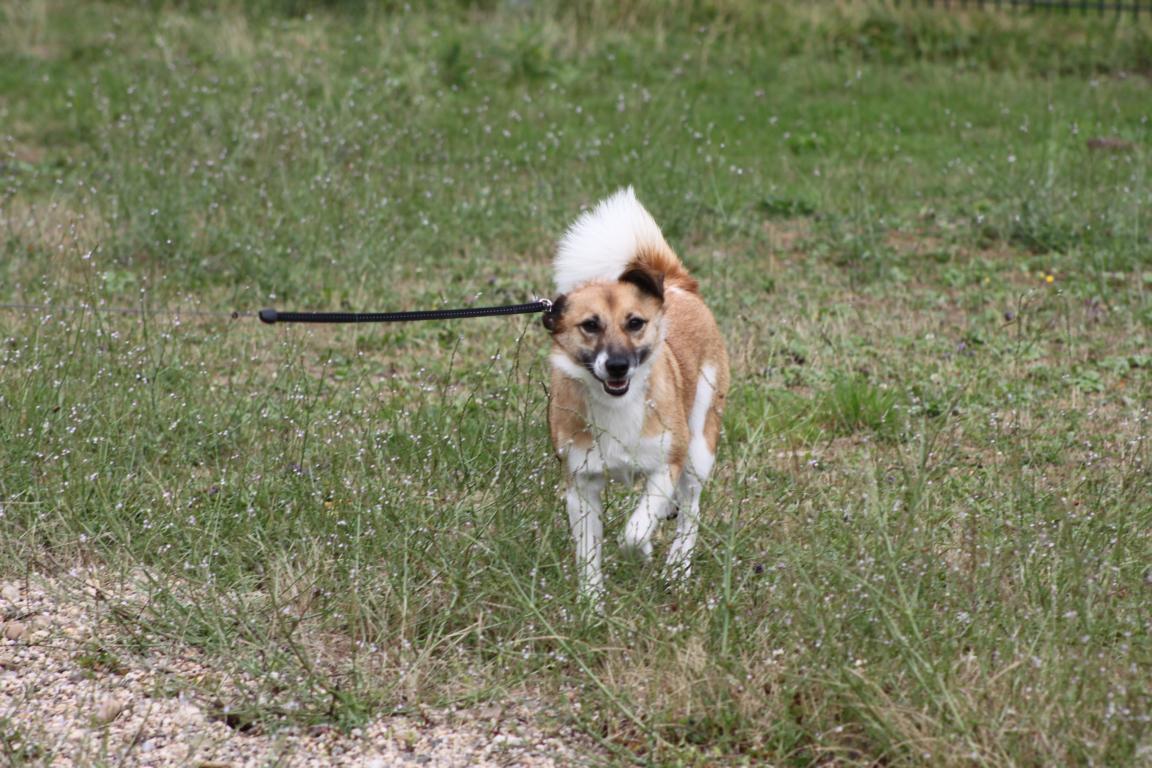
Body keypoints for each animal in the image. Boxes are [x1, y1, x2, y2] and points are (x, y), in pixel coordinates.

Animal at [543, 188, 729, 601]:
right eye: (590, 326)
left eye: (635, 323)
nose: (617, 366)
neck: (617, 406)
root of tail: (676, 284)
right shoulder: (580, 485)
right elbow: (588, 553)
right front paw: (591, 604)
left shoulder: (667, 463)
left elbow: (635, 529)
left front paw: (641, 548)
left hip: (699, 445)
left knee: (691, 509)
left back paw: (677, 566)